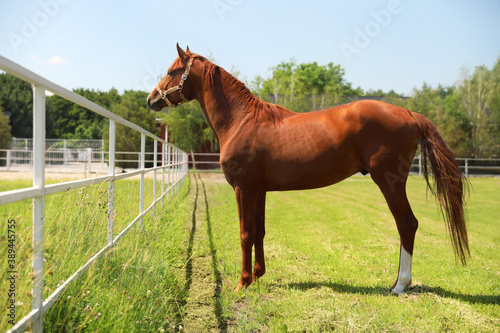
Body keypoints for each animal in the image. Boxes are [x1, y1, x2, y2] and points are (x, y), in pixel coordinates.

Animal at [147, 44, 468, 294]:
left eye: (173, 70)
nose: (151, 99)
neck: (242, 120)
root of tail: (409, 113)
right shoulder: (259, 191)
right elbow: (260, 231)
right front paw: (258, 276)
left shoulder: (243, 189)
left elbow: (245, 234)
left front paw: (241, 283)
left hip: (390, 182)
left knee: (407, 224)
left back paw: (399, 285)